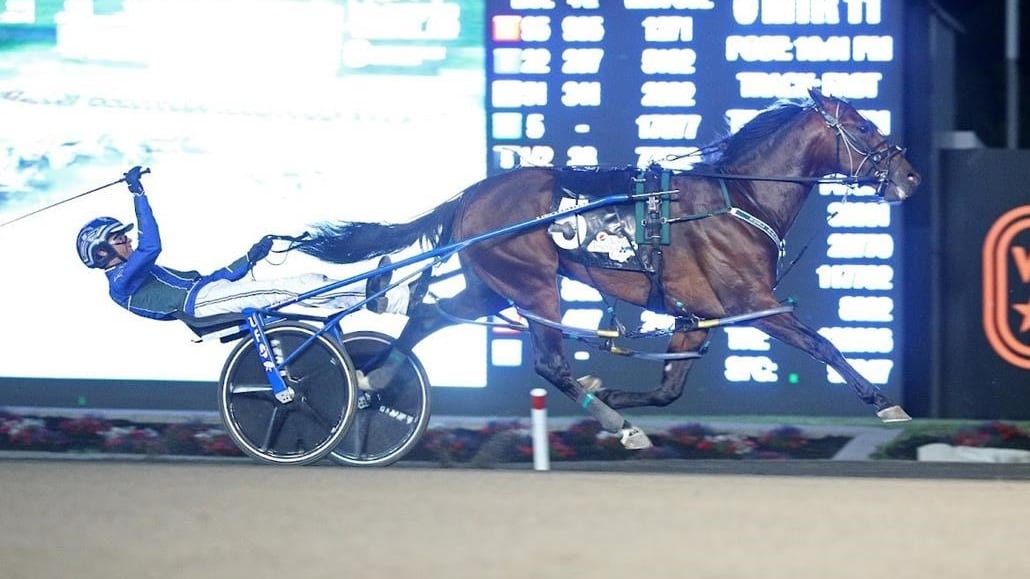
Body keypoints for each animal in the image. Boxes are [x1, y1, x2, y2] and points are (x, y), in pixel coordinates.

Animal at [297, 88, 922, 450]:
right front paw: (884, 401)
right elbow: (824, 345)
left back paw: (373, 381)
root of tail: (473, 193)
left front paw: (618, 395)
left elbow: (669, 389)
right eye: (862, 126)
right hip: (533, 284)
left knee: (431, 315)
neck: (738, 197)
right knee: (548, 363)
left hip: (492, 286)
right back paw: (614, 424)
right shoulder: (752, 304)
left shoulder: (694, 316)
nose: (909, 176)